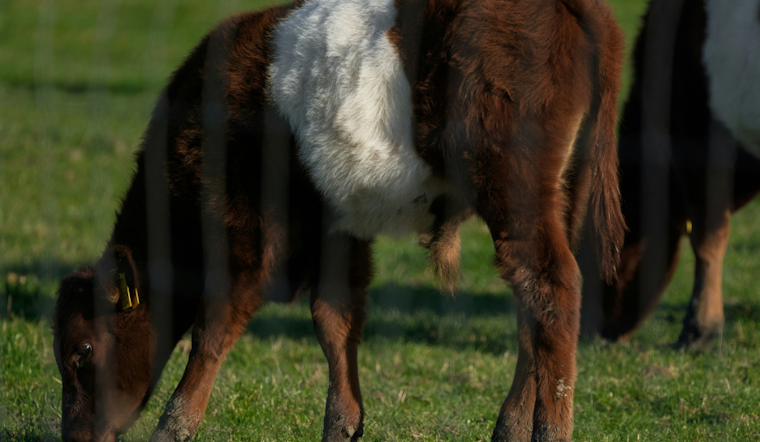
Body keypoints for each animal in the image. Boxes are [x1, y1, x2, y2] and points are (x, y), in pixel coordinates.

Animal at [52, 0, 625, 441]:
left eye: (83, 351)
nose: (75, 436)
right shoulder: (338, 228)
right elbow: (336, 320)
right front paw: (343, 424)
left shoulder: (244, 229)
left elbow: (212, 328)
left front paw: (173, 427)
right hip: (553, 197)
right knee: (533, 309)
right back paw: (510, 427)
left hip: (513, 188)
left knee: (551, 291)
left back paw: (550, 430)